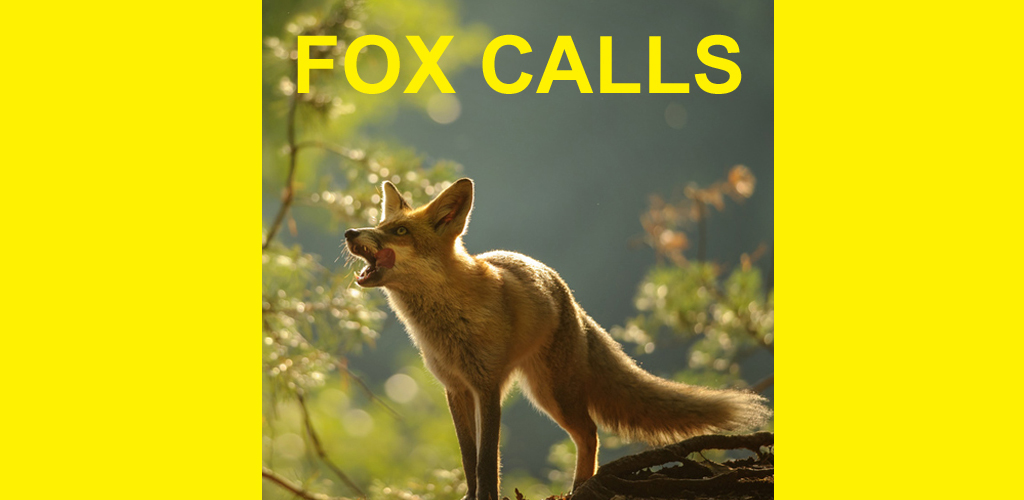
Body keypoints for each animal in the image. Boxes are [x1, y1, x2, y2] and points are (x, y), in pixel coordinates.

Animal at [344, 178, 771, 500]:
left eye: (399, 231)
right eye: (378, 223)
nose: (349, 232)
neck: (446, 320)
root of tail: (571, 300)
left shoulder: (488, 386)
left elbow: (487, 460)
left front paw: (487, 497)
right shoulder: (456, 388)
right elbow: (468, 458)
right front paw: (468, 496)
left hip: (553, 393)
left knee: (590, 432)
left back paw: (583, 487)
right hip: (545, 392)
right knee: (587, 432)